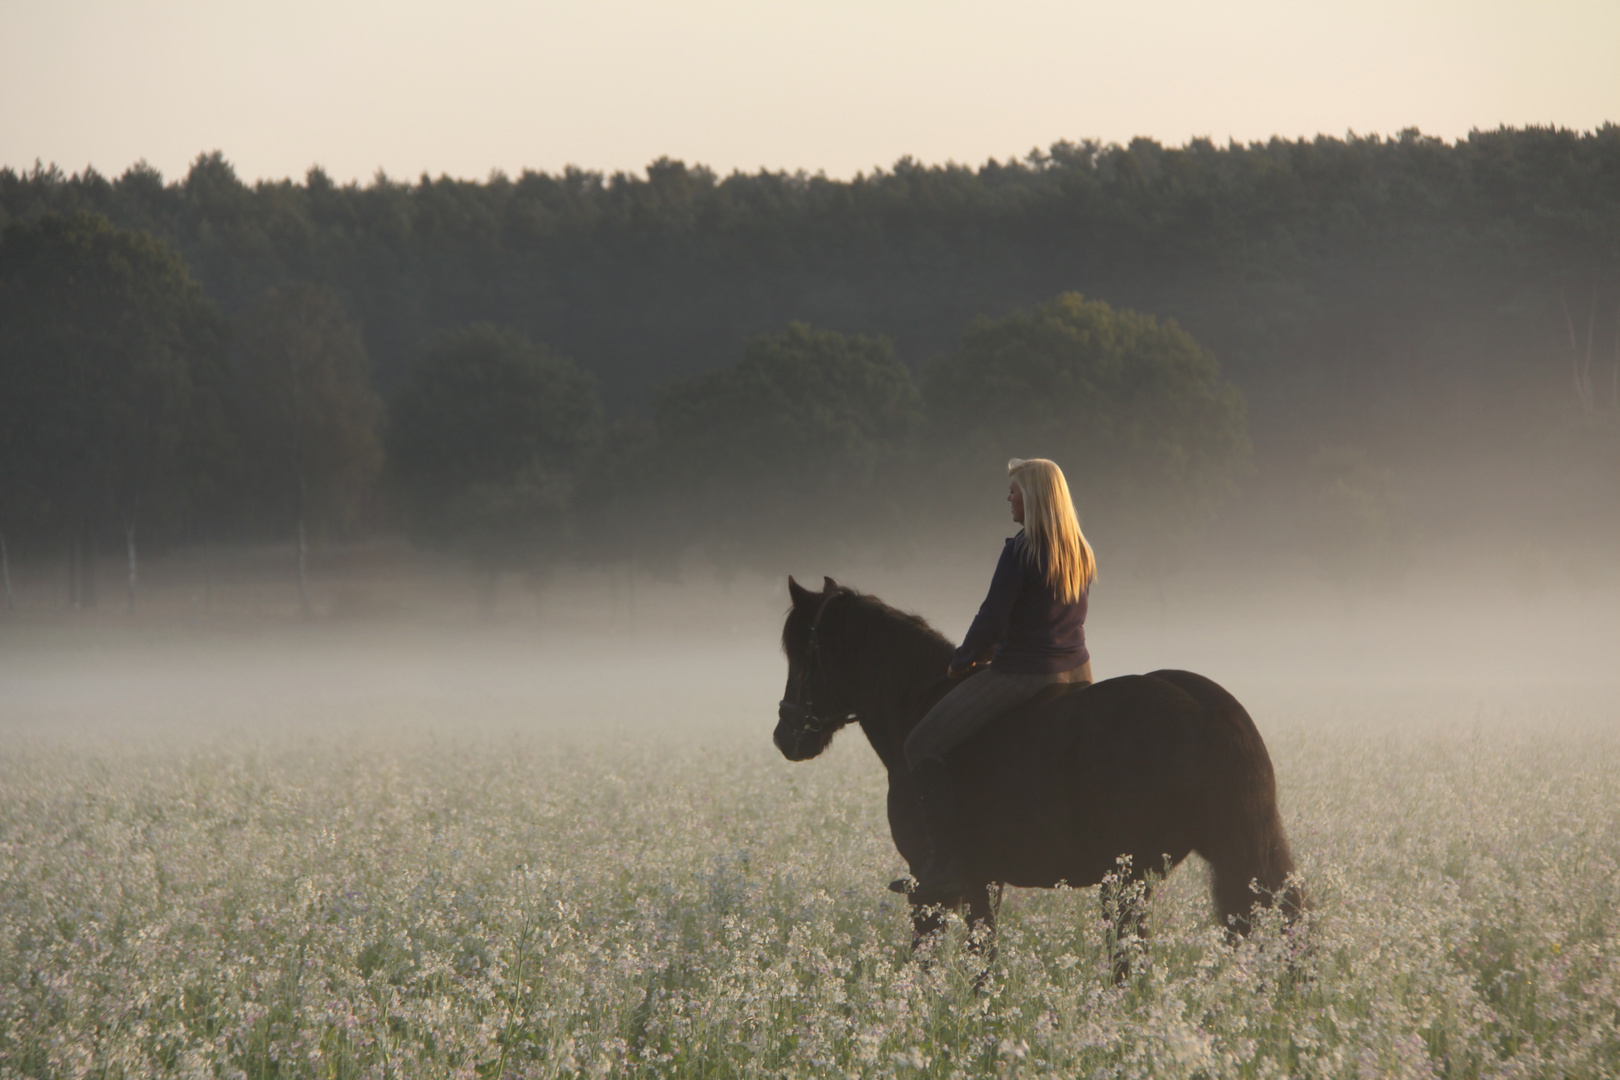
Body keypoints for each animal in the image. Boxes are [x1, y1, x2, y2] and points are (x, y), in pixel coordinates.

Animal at [771, 579, 1302, 965]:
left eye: (801, 654)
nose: (785, 736)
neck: (917, 703)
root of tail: (1206, 707)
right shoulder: (985, 881)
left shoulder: (933, 887)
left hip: (1128, 877)